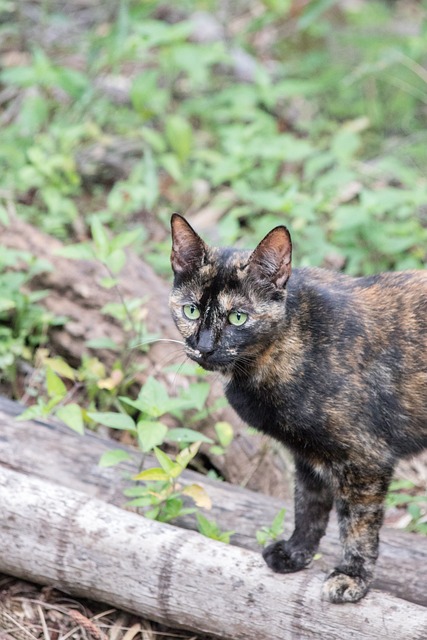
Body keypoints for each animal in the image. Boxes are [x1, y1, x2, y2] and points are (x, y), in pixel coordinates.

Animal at [169, 212, 426, 604]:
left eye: (238, 318)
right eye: (191, 309)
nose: (204, 346)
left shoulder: (366, 458)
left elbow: (357, 523)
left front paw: (352, 577)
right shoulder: (308, 454)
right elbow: (308, 506)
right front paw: (295, 554)